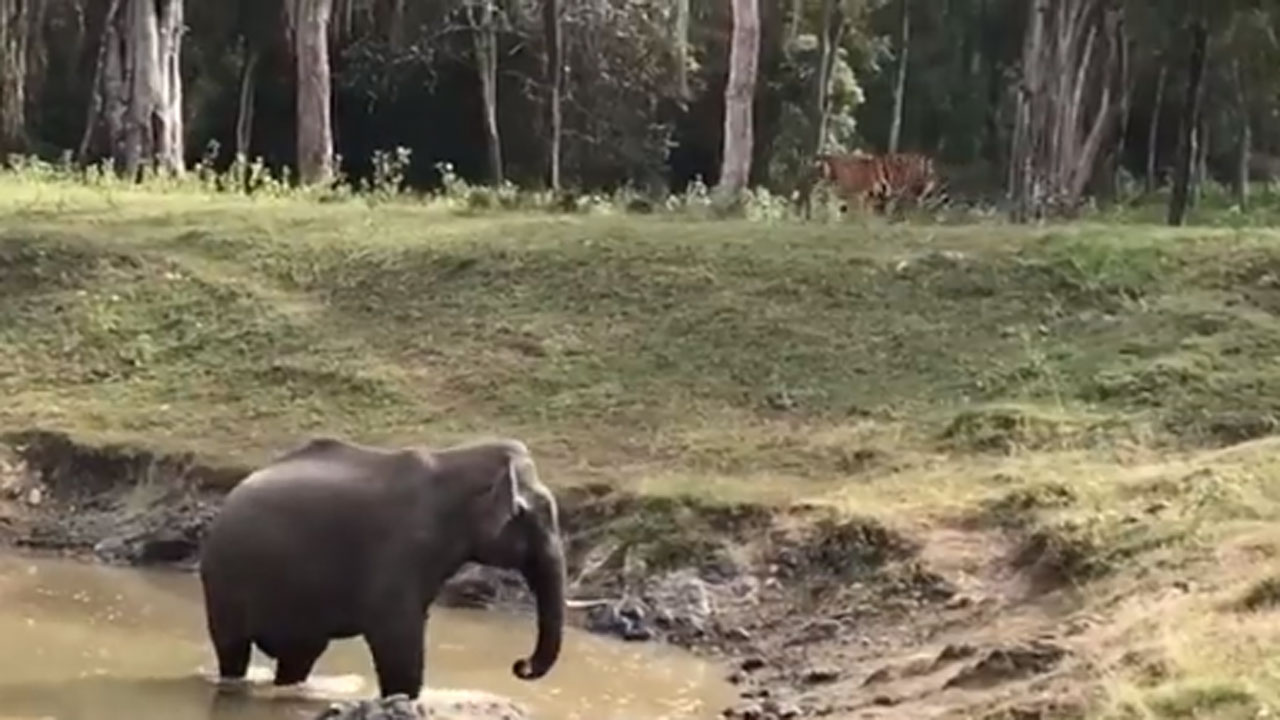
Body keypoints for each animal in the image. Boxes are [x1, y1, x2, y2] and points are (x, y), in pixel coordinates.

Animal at [197, 436, 566, 699]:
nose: (521, 665)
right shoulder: (402, 546)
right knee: (233, 650)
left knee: (300, 655)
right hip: (223, 579)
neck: (457, 461)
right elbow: (397, 631)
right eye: (533, 518)